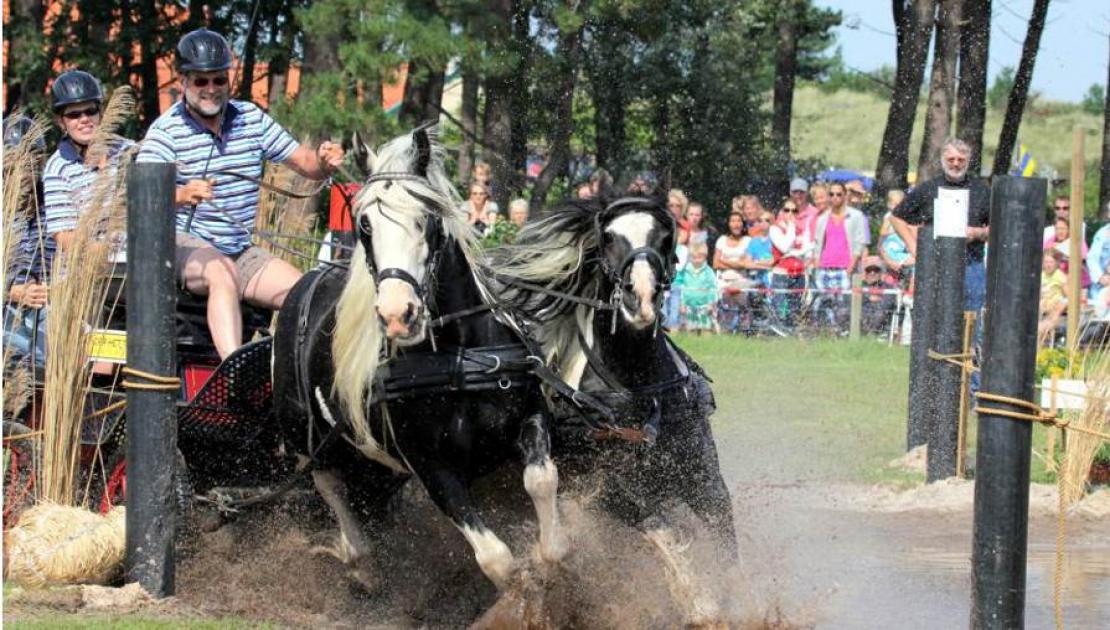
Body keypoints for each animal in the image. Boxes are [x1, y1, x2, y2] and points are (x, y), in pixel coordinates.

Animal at [267, 128, 563, 590]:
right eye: (364, 226)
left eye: (426, 219)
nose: (396, 314)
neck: (457, 361)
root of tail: (305, 281)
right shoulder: (429, 464)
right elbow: (496, 558)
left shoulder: (529, 412)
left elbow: (542, 481)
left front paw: (550, 562)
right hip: (307, 439)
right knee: (331, 486)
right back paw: (362, 562)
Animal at [488, 197, 737, 625]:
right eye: (607, 239)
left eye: (665, 237)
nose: (641, 298)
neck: (637, 387)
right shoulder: (609, 491)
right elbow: (660, 528)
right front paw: (700, 604)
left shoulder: (702, 474)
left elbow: (725, 538)